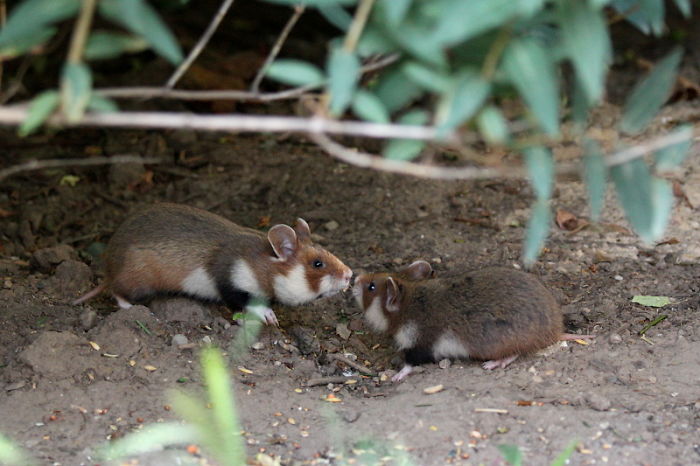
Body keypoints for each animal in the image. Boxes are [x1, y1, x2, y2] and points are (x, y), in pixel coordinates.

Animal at [74, 203, 353, 325]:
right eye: (317, 264)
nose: (350, 275)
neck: (265, 267)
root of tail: (108, 270)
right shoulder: (233, 284)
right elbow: (248, 303)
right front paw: (270, 316)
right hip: (137, 281)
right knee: (117, 293)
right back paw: (133, 309)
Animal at [353, 261, 593, 382]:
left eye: (371, 287)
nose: (354, 278)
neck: (409, 303)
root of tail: (555, 332)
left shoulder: (420, 345)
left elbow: (410, 364)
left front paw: (396, 376)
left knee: (515, 353)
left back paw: (493, 364)